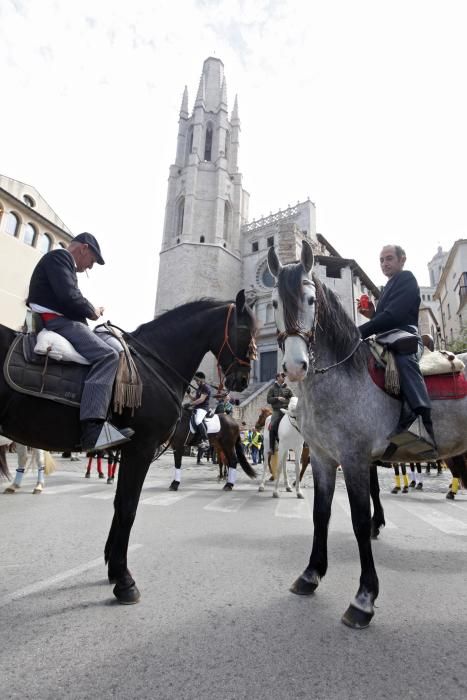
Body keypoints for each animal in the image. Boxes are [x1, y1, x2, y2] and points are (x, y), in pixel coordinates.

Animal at [0, 292, 256, 604]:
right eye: (245, 329)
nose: (242, 380)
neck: (154, 365)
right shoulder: (140, 449)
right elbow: (128, 507)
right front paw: (123, 580)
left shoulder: (133, 449)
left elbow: (121, 503)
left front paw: (114, 568)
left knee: (229, 461)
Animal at [266, 241, 467, 628]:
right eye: (274, 304)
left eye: (310, 300)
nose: (295, 367)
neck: (343, 375)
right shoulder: (323, 459)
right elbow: (321, 514)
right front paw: (311, 574)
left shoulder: (355, 459)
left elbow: (360, 521)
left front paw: (364, 598)